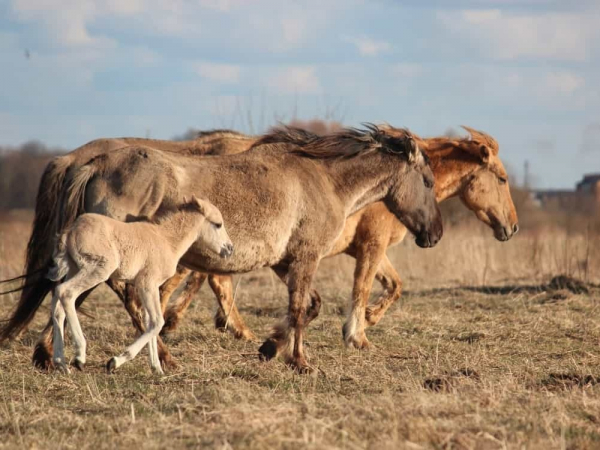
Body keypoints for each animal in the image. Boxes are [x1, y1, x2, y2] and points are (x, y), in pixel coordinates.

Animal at [2, 125, 442, 372]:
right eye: (428, 182)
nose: (434, 234)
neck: (323, 179)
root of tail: (92, 163)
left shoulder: (284, 261)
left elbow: (308, 307)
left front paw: (269, 347)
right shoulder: (305, 258)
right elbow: (301, 309)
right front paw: (300, 362)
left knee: (67, 296)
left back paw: (49, 356)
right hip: (114, 259)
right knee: (113, 298)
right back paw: (141, 357)